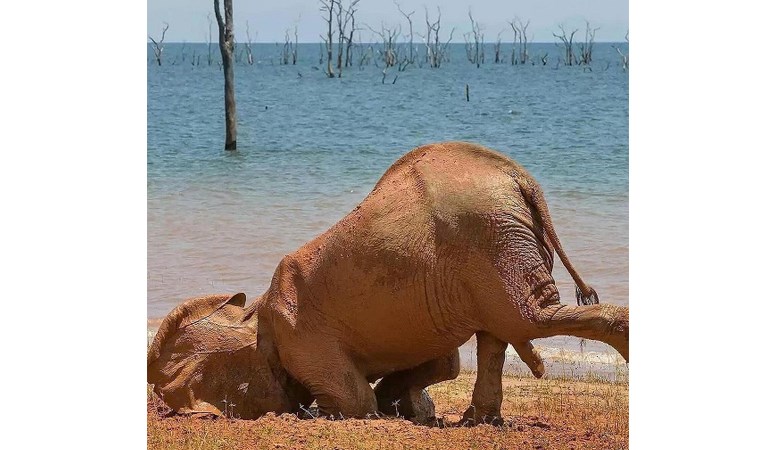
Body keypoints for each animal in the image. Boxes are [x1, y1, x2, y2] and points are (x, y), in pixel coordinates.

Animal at [145, 142, 628, 424]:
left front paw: (327, 412)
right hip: (495, 247)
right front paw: (406, 408)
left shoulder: (301, 337)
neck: (253, 313)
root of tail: (522, 181)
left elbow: (357, 401)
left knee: (525, 320)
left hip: (491, 239)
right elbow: (445, 364)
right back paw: (477, 421)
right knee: (499, 331)